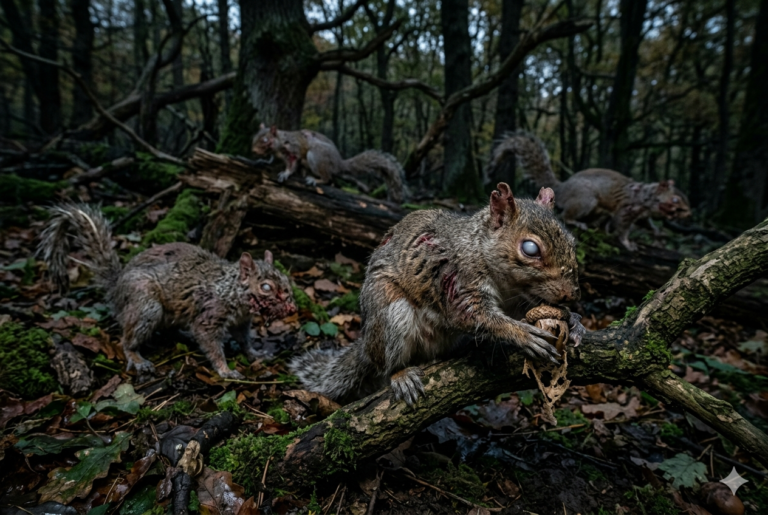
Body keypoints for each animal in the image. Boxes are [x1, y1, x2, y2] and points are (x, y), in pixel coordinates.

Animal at [37, 204, 297, 380]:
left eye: (286, 279)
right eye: (266, 287)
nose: (290, 303)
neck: (231, 290)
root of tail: (116, 289)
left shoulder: (242, 322)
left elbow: (244, 341)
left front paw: (256, 354)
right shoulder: (210, 315)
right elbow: (212, 344)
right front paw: (226, 370)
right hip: (146, 306)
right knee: (127, 340)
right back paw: (138, 359)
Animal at [252, 124, 408, 204]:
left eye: (265, 140)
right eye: (255, 135)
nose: (253, 150)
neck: (279, 142)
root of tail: (338, 164)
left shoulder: (294, 151)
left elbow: (292, 165)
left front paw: (285, 173)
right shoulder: (276, 154)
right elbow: (271, 159)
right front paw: (263, 160)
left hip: (315, 156)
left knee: (328, 179)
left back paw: (315, 179)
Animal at [290, 183, 585, 405]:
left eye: (572, 242)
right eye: (530, 249)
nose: (571, 295)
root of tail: (366, 346)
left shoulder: (520, 299)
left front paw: (574, 321)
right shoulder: (458, 281)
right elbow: (477, 317)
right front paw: (523, 334)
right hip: (389, 313)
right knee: (387, 365)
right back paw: (401, 375)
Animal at [488, 131, 691, 250]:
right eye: (675, 200)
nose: (688, 213)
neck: (645, 197)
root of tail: (563, 187)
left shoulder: (641, 215)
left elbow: (647, 225)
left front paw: (657, 232)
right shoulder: (627, 209)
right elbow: (622, 227)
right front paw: (627, 243)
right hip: (586, 201)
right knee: (567, 215)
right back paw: (580, 223)